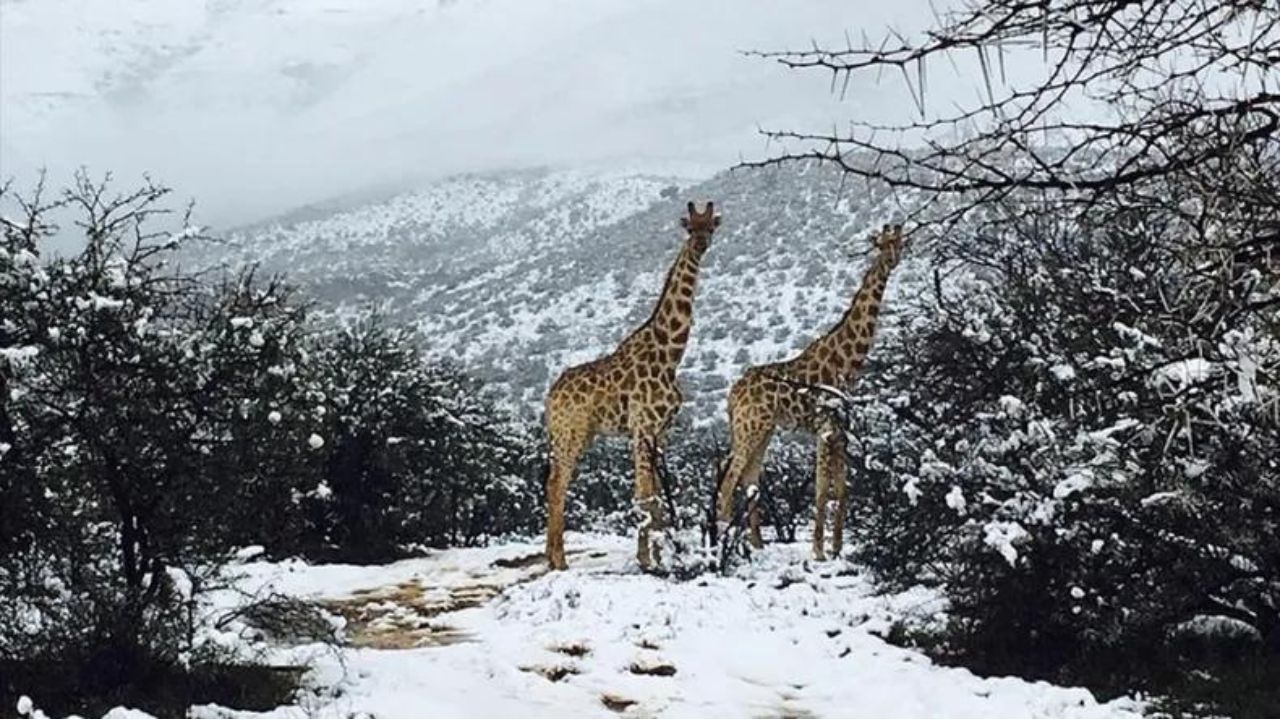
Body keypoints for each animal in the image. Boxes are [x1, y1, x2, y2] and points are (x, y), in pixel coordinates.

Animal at [540, 198, 721, 568]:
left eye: (711, 226)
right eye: (689, 227)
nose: (700, 245)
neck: (670, 354)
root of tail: (550, 398)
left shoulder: (660, 430)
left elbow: (657, 498)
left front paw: (662, 556)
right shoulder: (642, 427)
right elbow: (644, 496)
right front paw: (646, 560)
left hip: (575, 434)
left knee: (554, 482)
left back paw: (551, 557)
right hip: (571, 433)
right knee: (557, 483)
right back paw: (559, 560)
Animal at [716, 221, 906, 558]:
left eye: (899, 241)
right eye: (882, 243)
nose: (892, 259)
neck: (847, 361)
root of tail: (732, 395)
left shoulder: (841, 429)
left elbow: (842, 488)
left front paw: (837, 547)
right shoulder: (824, 426)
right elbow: (821, 489)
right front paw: (818, 550)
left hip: (763, 430)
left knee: (750, 480)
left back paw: (757, 544)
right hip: (749, 427)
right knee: (729, 480)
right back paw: (723, 544)